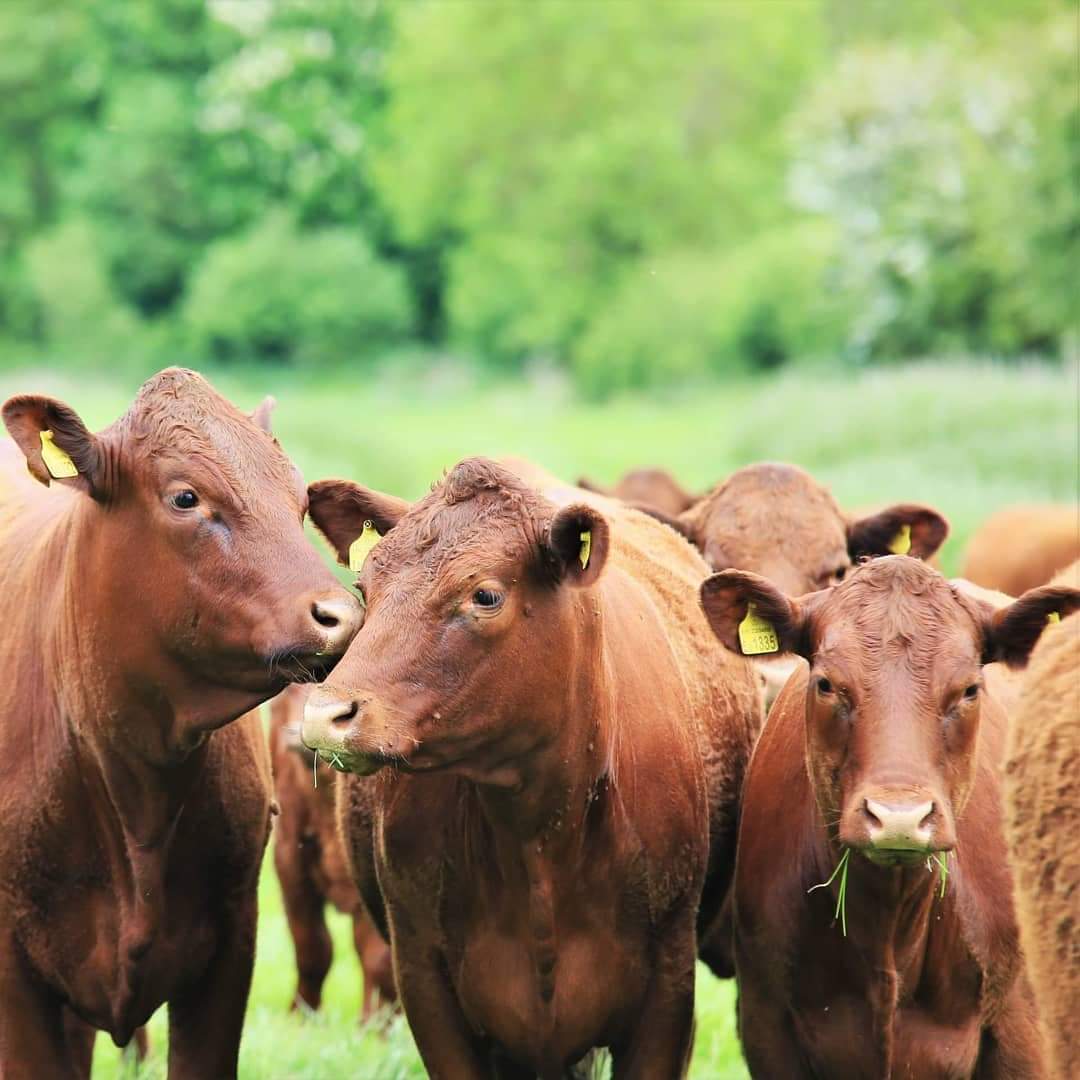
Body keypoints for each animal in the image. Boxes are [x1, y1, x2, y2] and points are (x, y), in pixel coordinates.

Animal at [301, 457, 762, 1077]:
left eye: (485, 595)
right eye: (364, 588)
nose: (327, 714)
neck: (539, 835)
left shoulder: (668, 992)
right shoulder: (426, 983)